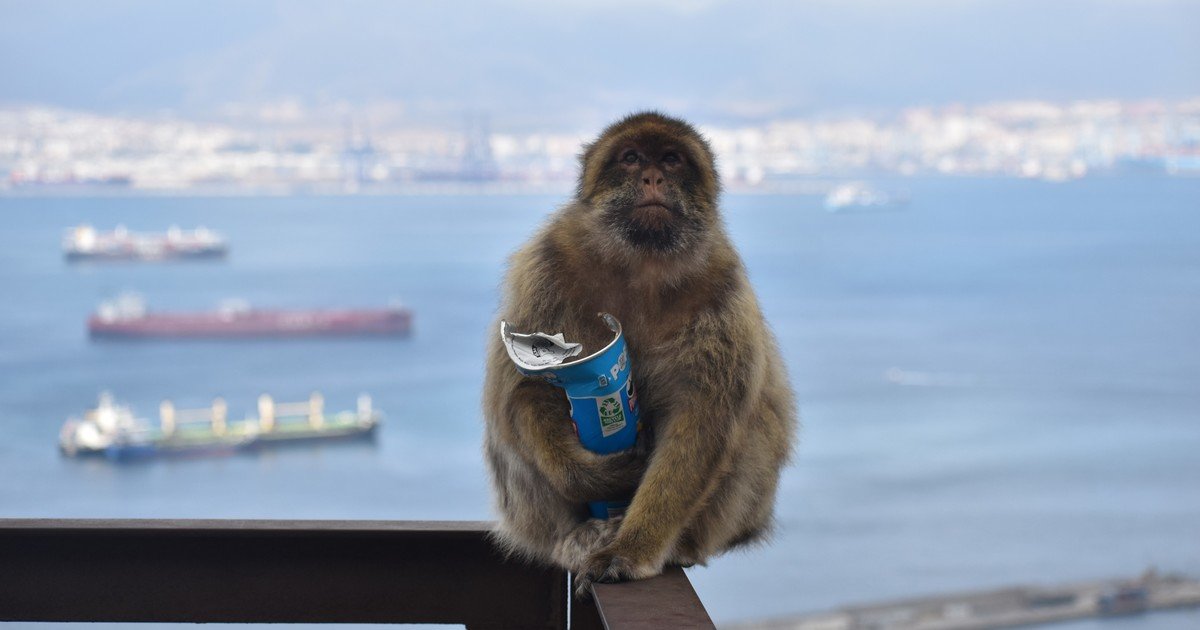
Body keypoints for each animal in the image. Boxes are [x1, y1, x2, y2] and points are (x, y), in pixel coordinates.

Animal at [482, 111, 797, 594]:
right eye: (631, 158)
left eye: (671, 159)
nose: (652, 177)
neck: (642, 263)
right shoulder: (546, 264)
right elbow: (524, 389)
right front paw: (600, 476)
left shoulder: (723, 289)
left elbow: (702, 419)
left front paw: (633, 550)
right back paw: (578, 534)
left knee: (756, 422)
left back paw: (677, 544)